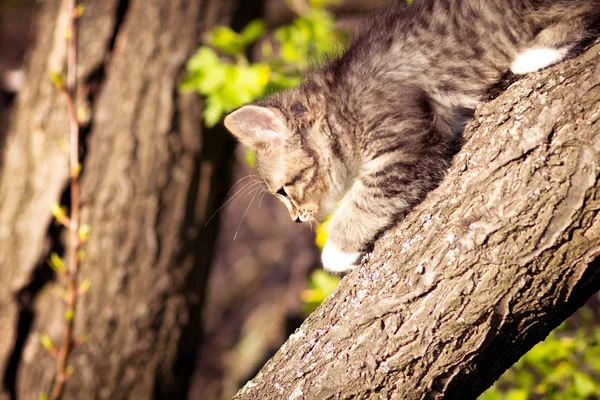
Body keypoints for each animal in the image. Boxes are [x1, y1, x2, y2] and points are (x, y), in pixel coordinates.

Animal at [224, 0, 600, 272]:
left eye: (283, 192)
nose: (296, 218)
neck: (338, 104)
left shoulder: (406, 146)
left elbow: (364, 197)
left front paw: (335, 251)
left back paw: (536, 53)